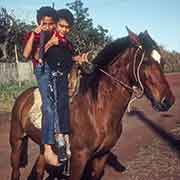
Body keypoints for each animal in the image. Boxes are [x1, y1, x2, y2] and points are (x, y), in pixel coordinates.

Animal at [9, 28, 174, 180]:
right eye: (145, 61)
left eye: (162, 61)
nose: (168, 101)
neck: (96, 110)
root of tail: (22, 97)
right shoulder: (79, 158)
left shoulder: (102, 155)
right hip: (17, 142)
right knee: (16, 171)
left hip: (43, 147)